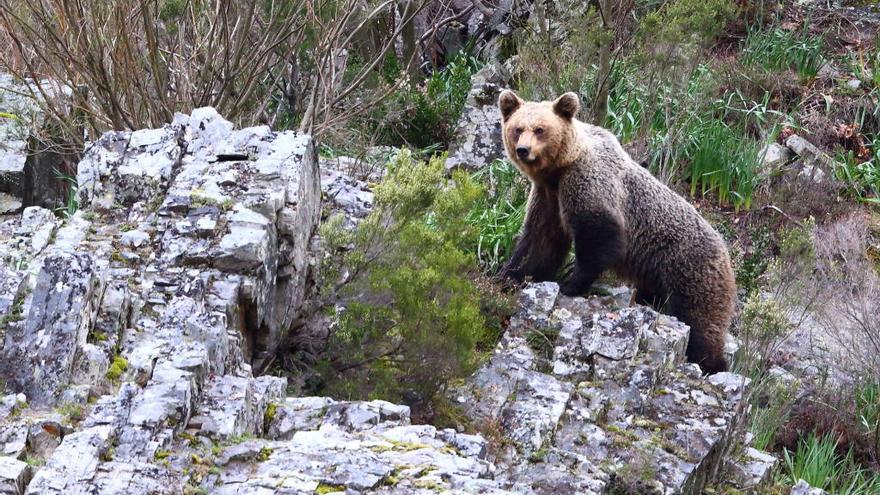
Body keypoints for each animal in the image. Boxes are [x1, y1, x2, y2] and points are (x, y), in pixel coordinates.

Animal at [496, 90, 736, 376]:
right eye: (518, 128)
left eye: (540, 129)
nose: (523, 150)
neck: (560, 168)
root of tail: (727, 253)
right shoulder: (548, 197)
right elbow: (539, 240)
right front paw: (510, 275)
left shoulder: (588, 184)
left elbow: (598, 236)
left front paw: (571, 284)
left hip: (689, 271)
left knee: (699, 323)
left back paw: (711, 364)